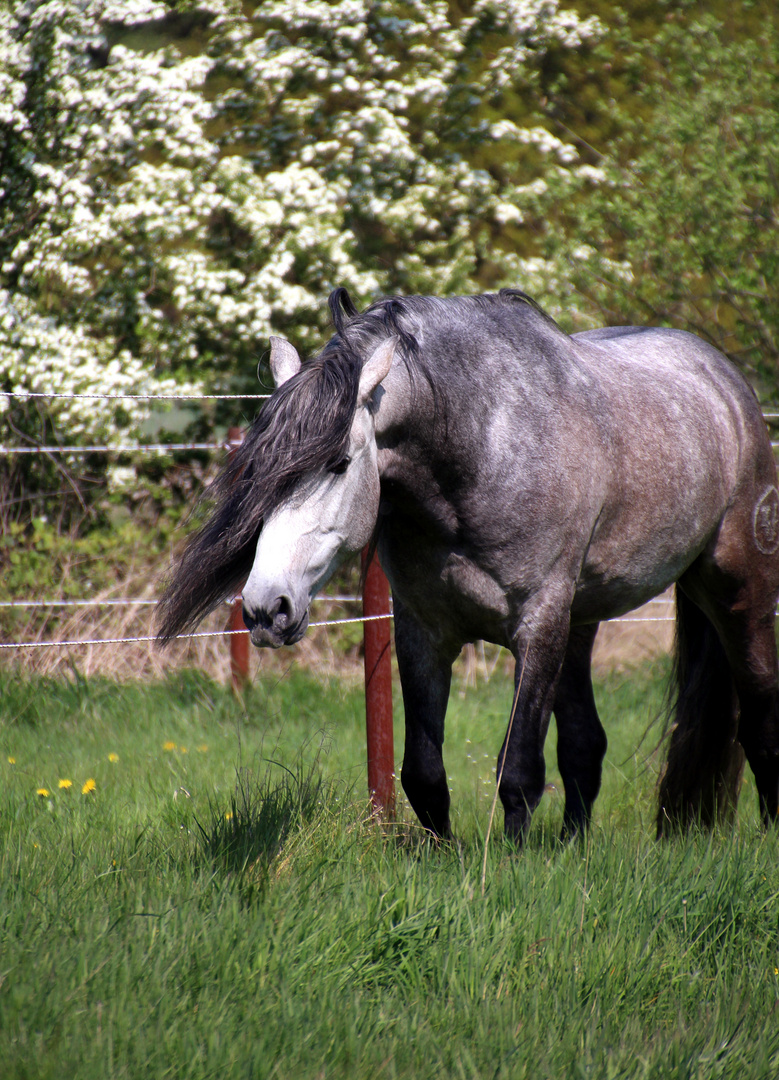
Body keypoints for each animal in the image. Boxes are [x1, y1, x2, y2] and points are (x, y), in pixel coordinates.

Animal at [157, 289, 777, 842]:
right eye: (257, 468)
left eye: (338, 463)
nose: (266, 608)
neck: (480, 451)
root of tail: (728, 383)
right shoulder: (424, 633)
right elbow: (423, 773)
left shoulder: (537, 626)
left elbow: (519, 770)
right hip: (581, 620)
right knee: (584, 743)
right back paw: (573, 843)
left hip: (736, 593)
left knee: (759, 718)